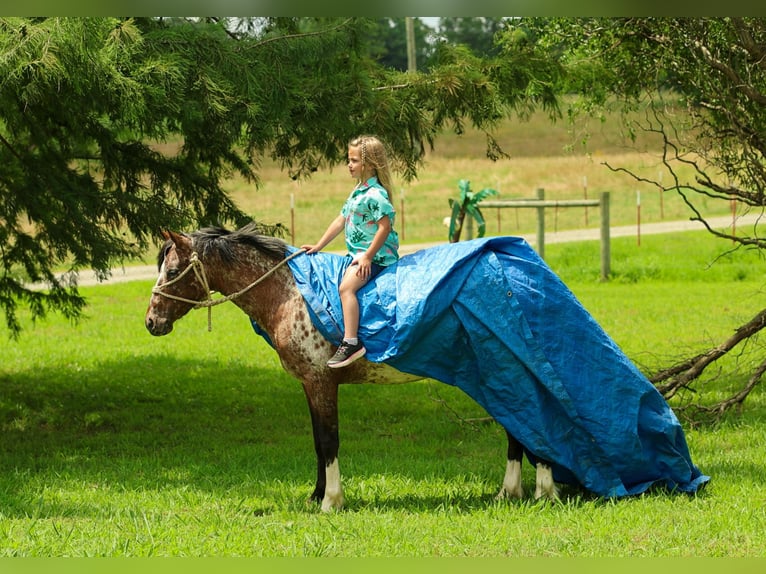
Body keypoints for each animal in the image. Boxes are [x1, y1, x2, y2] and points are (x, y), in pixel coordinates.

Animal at [144, 223, 559, 511]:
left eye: (173, 271)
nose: (151, 322)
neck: (290, 293)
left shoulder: (321, 383)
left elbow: (329, 441)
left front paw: (332, 500)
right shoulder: (309, 385)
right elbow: (317, 442)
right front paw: (315, 496)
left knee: (530, 425)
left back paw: (544, 491)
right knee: (517, 429)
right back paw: (509, 493)